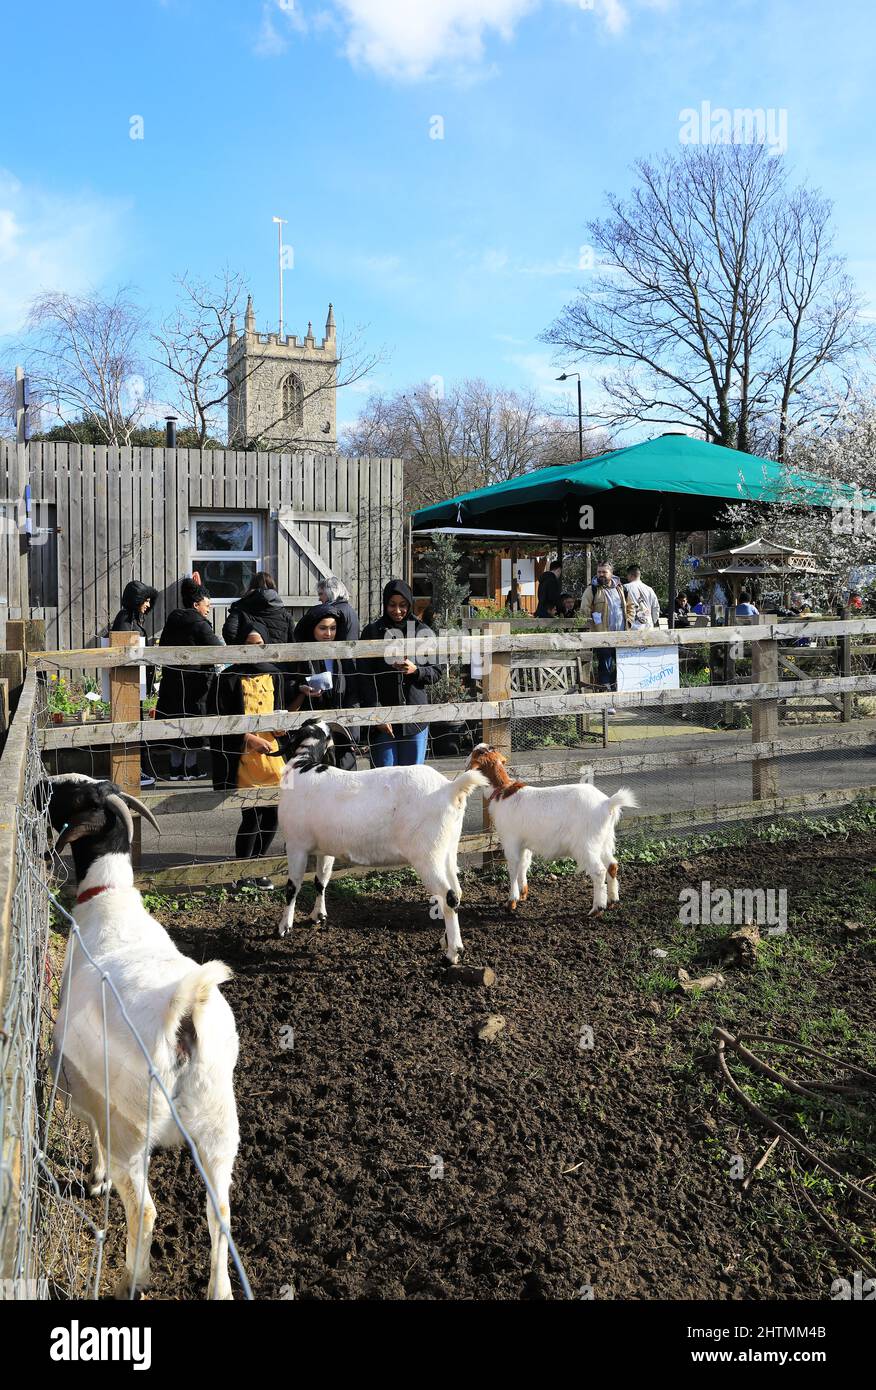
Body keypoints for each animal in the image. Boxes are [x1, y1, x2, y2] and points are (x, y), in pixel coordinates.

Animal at [42, 778, 239, 1295]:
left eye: (73, 795)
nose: (43, 785)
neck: (107, 902)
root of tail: (184, 1013)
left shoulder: (85, 1083)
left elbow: (89, 1126)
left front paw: (96, 1178)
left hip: (133, 1127)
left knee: (146, 1209)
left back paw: (131, 1280)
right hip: (218, 1124)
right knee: (220, 1211)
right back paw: (220, 1289)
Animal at [278, 722, 492, 961]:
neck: (303, 765)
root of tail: (450, 789)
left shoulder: (296, 845)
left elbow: (292, 887)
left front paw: (284, 927)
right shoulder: (326, 848)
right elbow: (320, 880)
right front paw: (318, 915)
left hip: (427, 855)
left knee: (449, 897)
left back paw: (452, 953)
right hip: (447, 849)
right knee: (458, 892)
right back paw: (444, 942)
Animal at [467, 745, 639, 917]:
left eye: (475, 753)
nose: (466, 761)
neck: (503, 792)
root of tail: (607, 803)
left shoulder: (511, 841)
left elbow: (514, 867)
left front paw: (511, 902)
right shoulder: (525, 843)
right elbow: (524, 864)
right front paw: (523, 894)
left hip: (587, 844)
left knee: (599, 871)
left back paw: (597, 909)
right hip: (604, 840)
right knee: (612, 865)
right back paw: (612, 901)